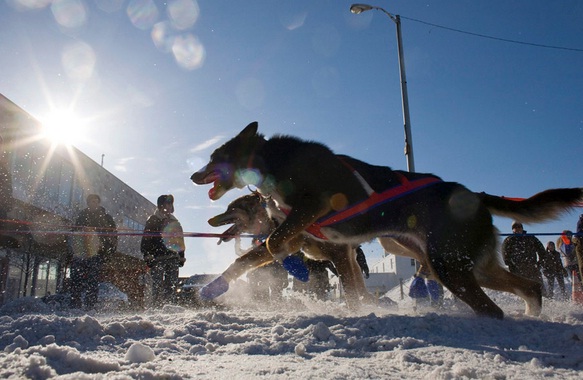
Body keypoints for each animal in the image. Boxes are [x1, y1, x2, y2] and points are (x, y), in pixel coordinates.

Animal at [208, 193, 376, 308]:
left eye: (231, 208)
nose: (209, 220)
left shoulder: (340, 255)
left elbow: (351, 292)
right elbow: (242, 261)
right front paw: (215, 286)